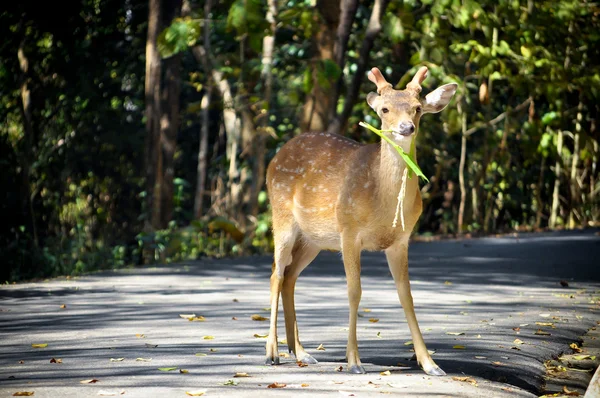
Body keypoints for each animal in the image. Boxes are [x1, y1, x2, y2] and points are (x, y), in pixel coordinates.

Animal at [264, 64, 458, 374]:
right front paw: (354, 361)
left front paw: (430, 363)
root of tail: (275, 157)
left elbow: (407, 296)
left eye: (417, 108)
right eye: (384, 109)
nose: (406, 128)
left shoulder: (400, 240)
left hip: (313, 239)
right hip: (281, 216)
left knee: (290, 276)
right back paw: (272, 352)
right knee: (276, 273)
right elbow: (354, 291)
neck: (382, 203)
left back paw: (301, 352)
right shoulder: (349, 231)